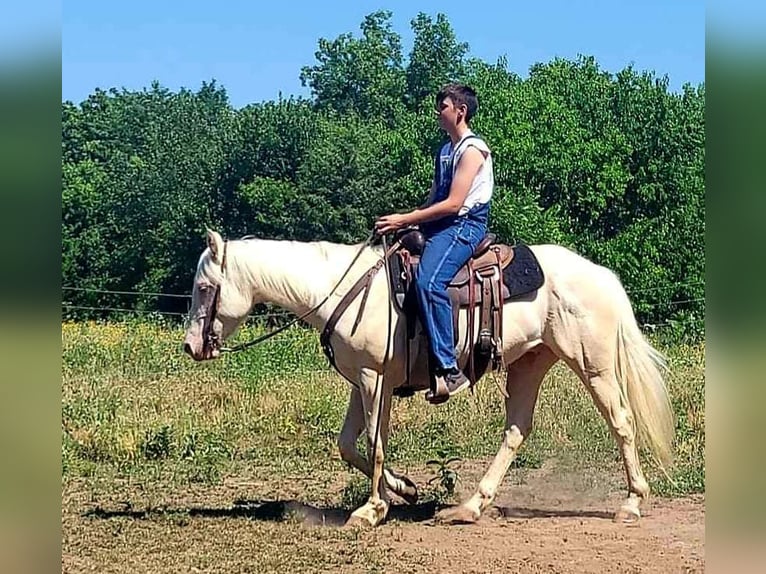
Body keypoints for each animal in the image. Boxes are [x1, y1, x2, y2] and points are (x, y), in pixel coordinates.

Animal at [183, 232, 676, 528]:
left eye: (205, 288)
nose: (191, 346)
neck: (343, 290)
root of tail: (600, 273)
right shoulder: (361, 381)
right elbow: (349, 445)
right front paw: (403, 490)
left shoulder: (374, 378)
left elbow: (375, 444)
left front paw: (372, 508)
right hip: (530, 364)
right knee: (516, 430)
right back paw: (471, 506)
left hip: (593, 366)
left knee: (621, 421)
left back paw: (632, 502)